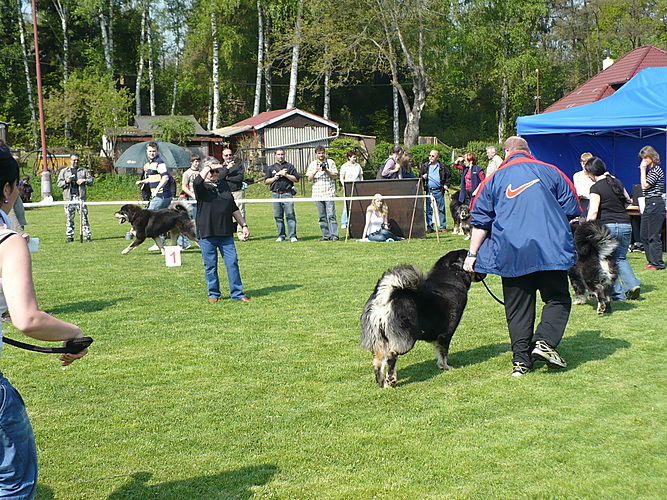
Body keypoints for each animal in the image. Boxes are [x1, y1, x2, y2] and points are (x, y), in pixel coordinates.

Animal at [360, 249, 486, 386]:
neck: (451, 276)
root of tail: (385, 298)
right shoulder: (446, 334)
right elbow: (443, 353)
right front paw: (445, 367)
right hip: (406, 339)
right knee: (391, 356)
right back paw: (391, 379)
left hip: (379, 340)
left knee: (378, 362)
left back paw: (383, 384)